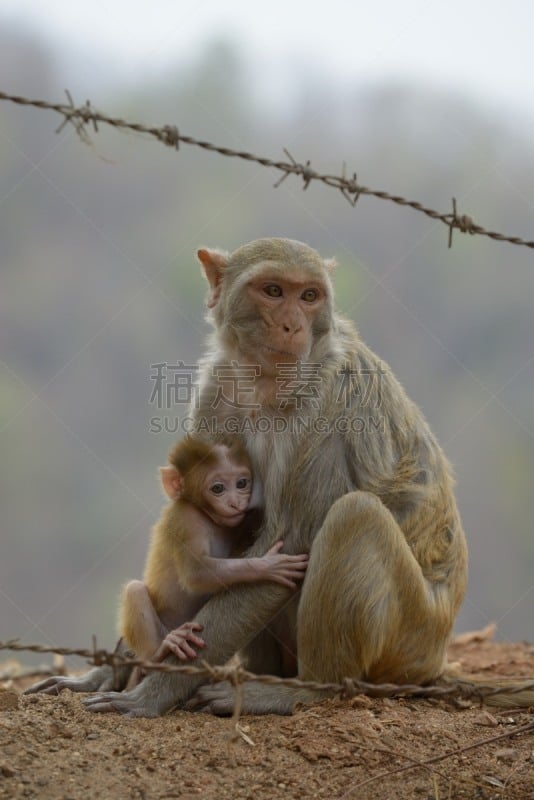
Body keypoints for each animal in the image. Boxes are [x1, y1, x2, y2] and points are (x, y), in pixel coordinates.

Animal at [119, 434, 308, 684]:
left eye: (241, 483)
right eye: (217, 488)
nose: (235, 503)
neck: (207, 516)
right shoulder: (187, 522)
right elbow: (196, 574)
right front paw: (268, 566)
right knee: (136, 590)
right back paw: (159, 652)